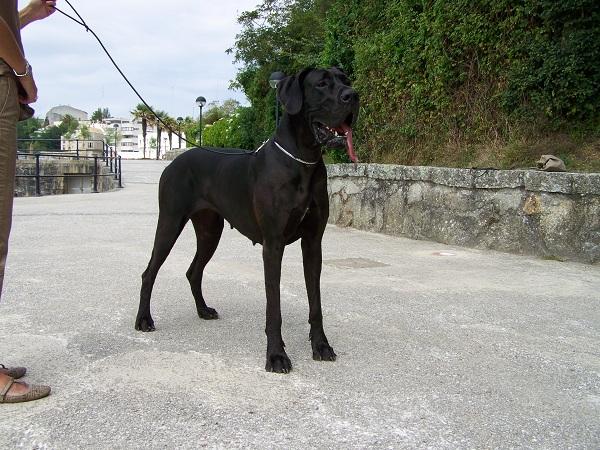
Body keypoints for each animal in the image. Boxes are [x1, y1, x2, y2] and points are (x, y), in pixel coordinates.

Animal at [135, 67, 358, 372]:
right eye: (322, 84)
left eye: (345, 80)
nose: (353, 95)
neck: (302, 160)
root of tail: (173, 162)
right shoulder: (273, 245)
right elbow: (274, 307)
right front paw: (276, 355)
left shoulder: (313, 243)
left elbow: (316, 303)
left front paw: (321, 345)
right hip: (170, 222)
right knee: (150, 272)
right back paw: (144, 320)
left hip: (210, 231)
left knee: (193, 270)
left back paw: (203, 310)